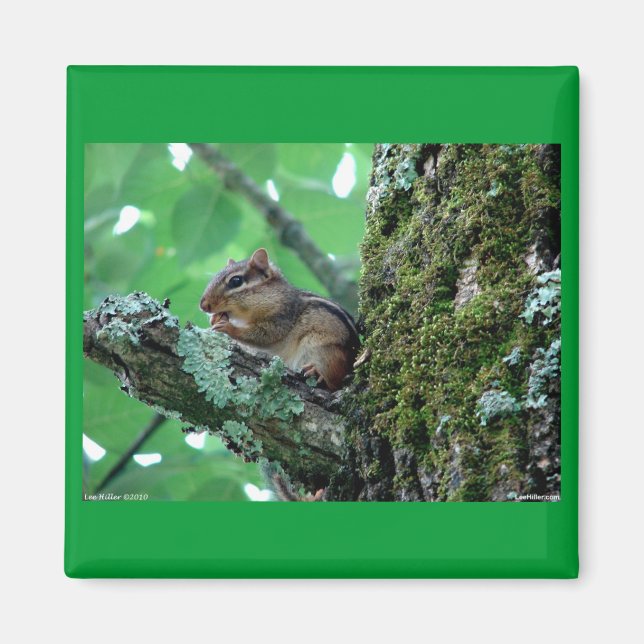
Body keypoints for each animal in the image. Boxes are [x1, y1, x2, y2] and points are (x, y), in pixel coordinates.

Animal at [200, 248, 360, 391]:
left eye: (236, 281)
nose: (203, 305)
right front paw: (215, 319)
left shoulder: (282, 317)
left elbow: (264, 335)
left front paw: (228, 327)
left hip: (324, 351)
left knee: (334, 380)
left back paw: (317, 372)